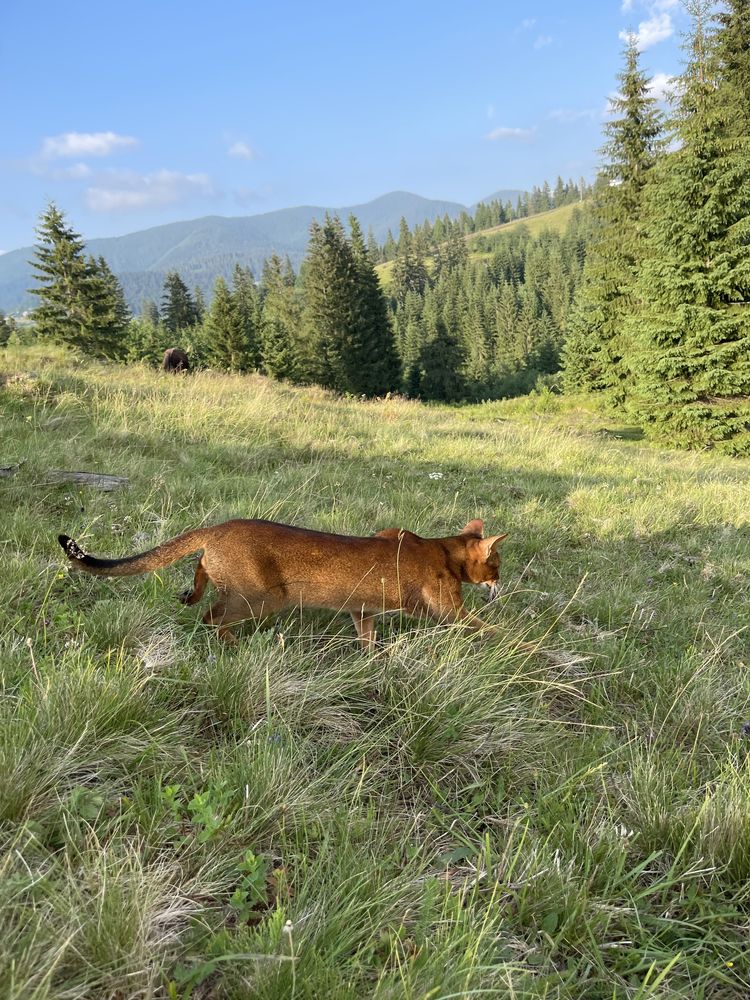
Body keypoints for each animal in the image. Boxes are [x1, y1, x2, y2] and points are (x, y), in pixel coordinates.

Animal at [57, 516, 506, 648]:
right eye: (497, 564)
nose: (499, 584)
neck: (440, 549)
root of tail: (216, 528)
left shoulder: (362, 610)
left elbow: (369, 640)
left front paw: (375, 662)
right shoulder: (448, 610)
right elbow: (490, 629)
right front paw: (521, 647)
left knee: (201, 585)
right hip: (260, 598)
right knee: (211, 619)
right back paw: (236, 647)